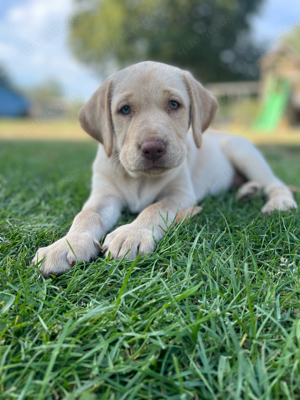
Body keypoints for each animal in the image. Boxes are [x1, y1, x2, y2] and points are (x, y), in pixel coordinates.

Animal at [32, 61, 298, 276]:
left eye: (173, 104)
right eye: (125, 109)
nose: (152, 148)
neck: (139, 179)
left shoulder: (180, 195)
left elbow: (153, 209)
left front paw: (131, 233)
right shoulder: (103, 195)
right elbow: (86, 215)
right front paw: (65, 244)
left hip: (243, 151)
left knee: (275, 182)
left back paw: (278, 202)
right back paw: (246, 192)